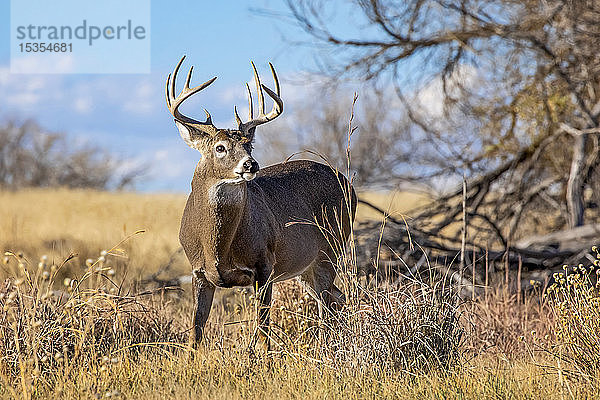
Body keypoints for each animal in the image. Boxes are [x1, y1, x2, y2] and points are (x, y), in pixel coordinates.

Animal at [164, 54, 356, 346]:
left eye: (249, 145)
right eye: (220, 147)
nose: (250, 164)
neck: (217, 247)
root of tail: (350, 186)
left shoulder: (264, 266)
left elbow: (263, 327)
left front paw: (261, 355)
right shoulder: (199, 272)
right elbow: (196, 330)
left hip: (330, 249)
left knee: (328, 303)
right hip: (307, 267)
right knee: (337, 297)